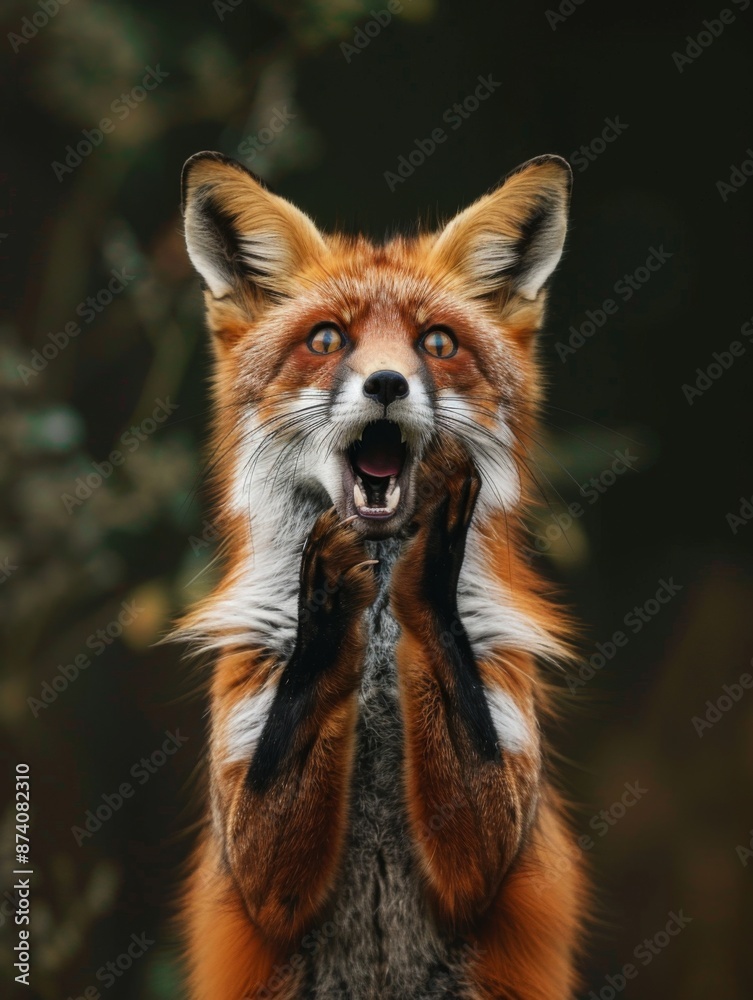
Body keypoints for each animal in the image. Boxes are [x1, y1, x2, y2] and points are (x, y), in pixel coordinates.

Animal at [176, 150, 587, 1000]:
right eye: (327, 339)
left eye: (436, 343)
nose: (388, 385)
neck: (374, 662)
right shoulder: (250, 849)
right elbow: (296, 711)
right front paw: (324, 604)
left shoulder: (497, 835)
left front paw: (431, 561)